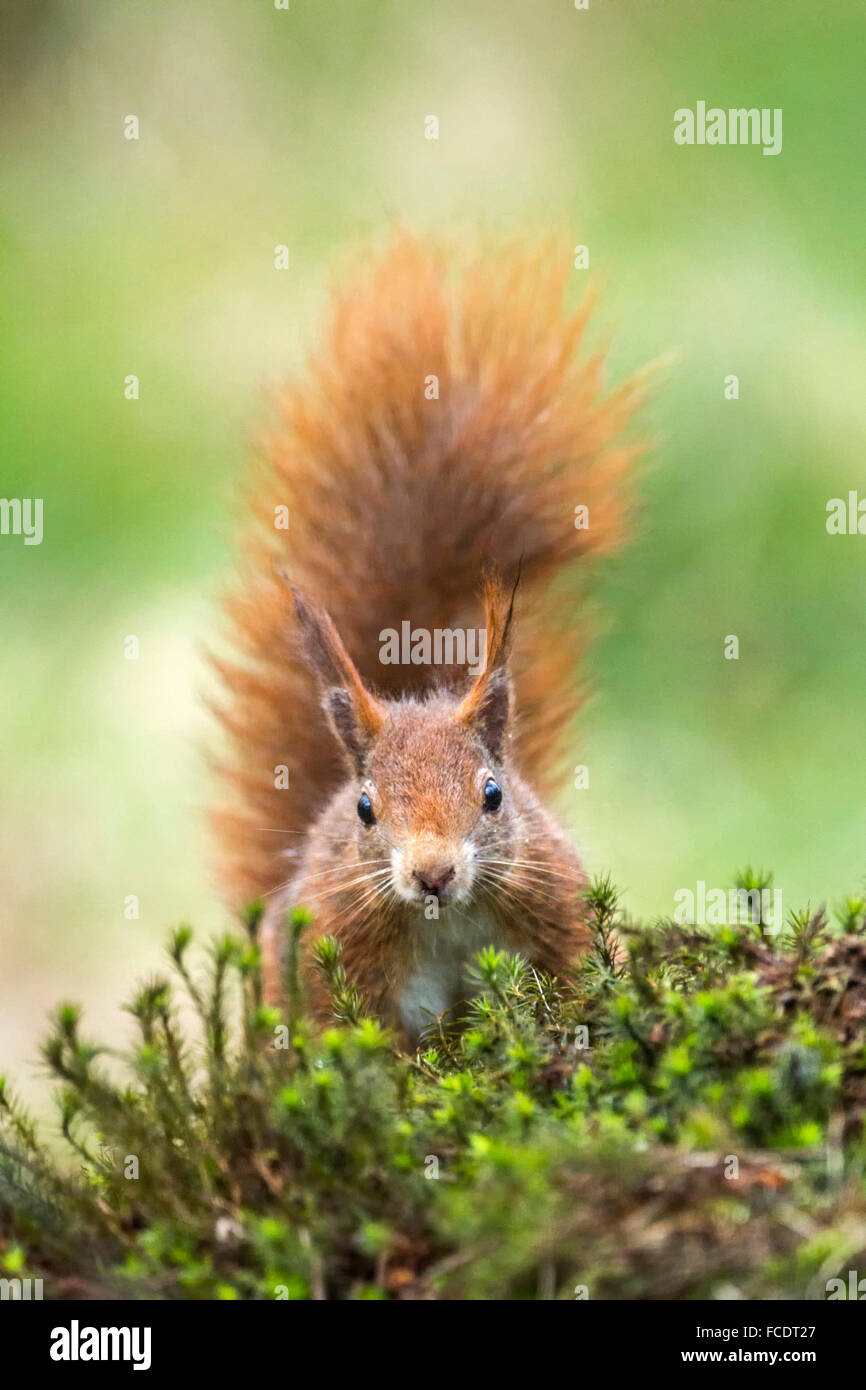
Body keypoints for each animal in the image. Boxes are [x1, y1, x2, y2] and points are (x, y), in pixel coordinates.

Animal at [211, 230, 644, 1045]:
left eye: (495, 794)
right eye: (366, 808)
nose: (433, 874)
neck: (448, 919)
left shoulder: (558, 901)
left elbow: (584, 975)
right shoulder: (340, 951)